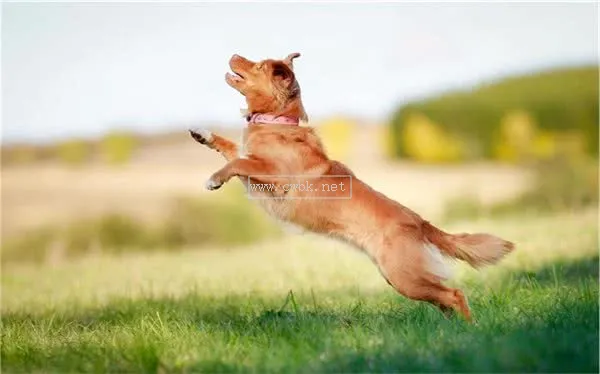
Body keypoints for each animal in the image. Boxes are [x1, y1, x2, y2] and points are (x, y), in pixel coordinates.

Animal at [190, 53, 512, 322]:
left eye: (257, 66)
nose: (234, 54)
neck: (277, 122)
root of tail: (420, 222)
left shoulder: (275, 177)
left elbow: (237, 163)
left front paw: (214, 179)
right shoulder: (253, 164)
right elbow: (232, 148)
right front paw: (203, 134)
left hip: (404, 276)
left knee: (455, 295)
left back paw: (470, 329)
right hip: (403, 277)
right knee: (445, 299)